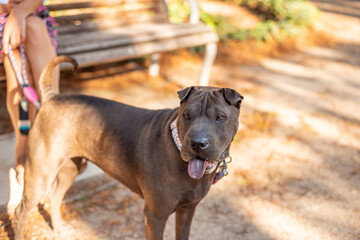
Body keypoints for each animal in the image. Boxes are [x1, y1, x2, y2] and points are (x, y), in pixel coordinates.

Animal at [14, 55, 245, 239]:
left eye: (220, 117)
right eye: (187, 115)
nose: (197, 143)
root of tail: (51, 97)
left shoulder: (187, 211)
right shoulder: (155, 216)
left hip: (72, 167)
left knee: (55, 196)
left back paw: (60, 228)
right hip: (41, 172)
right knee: (20, 211)